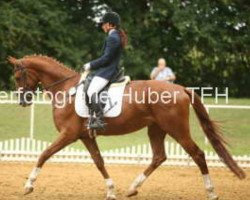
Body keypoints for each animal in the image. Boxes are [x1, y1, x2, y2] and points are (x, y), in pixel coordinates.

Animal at [8, 55, 246, 200]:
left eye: (18, 76)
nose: (22, 101)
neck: (66, 89)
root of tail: (180, 88)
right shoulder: (86, 136)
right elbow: (99, 162)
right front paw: (111, 191)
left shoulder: (69, 134)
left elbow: (43, 154)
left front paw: (28, 185)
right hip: (156, 129)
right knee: (159, 156)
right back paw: (133, 188)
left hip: (177, 129)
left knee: (197, 154)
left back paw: (211, 192)